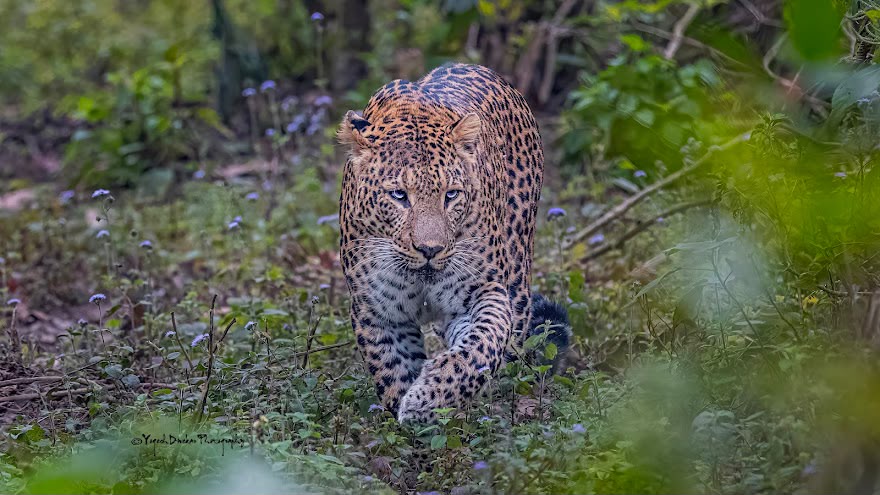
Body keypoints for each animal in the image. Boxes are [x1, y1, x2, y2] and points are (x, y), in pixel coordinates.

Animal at [337, 63, 570, 423]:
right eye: (399, 195)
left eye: (451, 195)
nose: (430, 249)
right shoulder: (378, 311)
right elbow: (392, 369)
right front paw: (411, 419)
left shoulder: (481, 291)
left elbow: (481, 345)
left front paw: (429, 399)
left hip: (518, 280)